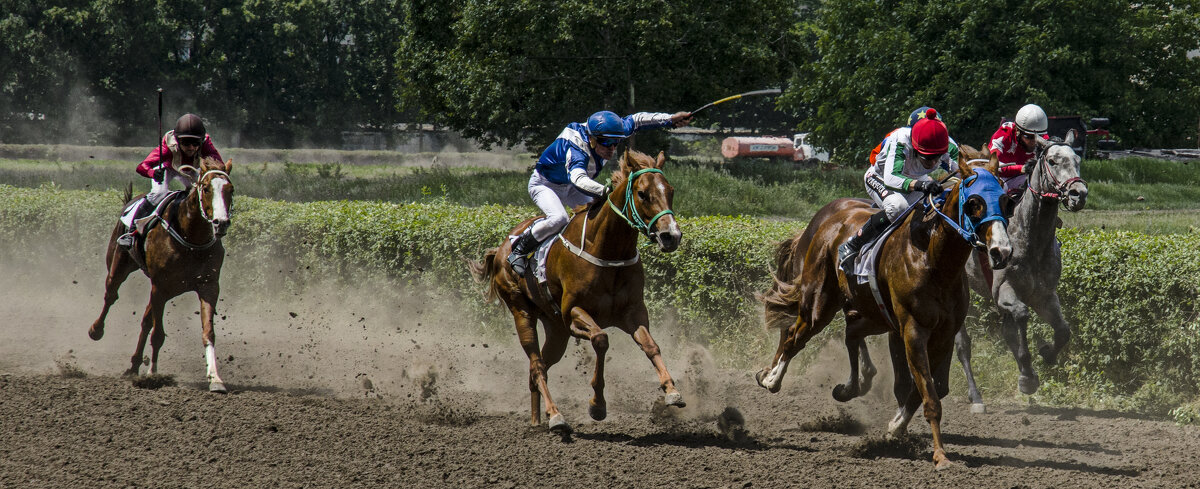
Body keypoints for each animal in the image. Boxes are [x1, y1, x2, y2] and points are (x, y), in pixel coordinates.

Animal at [88, 157, 234, 393]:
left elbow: (208, 332)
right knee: (111, 295)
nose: (220, 222)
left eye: (230, 189)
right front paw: (153, 374)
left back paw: (133, 366)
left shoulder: (209, 286)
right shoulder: (160, 286)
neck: (191, 239)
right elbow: (158, 335)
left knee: (146, 321)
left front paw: (215, 378)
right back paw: (96, 330)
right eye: (205, 188)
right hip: (119, 265)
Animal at [468, 148, 686, 431]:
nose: (671, 236)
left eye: (670, 190)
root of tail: (502, 247)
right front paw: (597, 405)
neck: (607, 250)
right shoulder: (573, 312)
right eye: (642, 194)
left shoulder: (633, 311)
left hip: (556, 328)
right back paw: (556, 415)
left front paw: (671, 391)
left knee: (538, 368)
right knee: (537, 365)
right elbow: (601, 340)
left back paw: (537, 419)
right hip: (521, 312)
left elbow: (651, 346)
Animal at [758, 161, 1012, 467]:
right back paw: (772, 378)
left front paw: (895, 427)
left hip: (869, 313)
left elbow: (926, 389)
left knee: (850, 333)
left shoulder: (942, 335)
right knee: (795, 336)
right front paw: (940, 455)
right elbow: (927, 394)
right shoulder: (911, 330)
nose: (1001, 251)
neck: (934, 261)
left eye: (1007, 201)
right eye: (974, 202)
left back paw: (849, 385)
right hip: (819, 302)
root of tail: (828, 222)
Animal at [955, 133, 1089, 412]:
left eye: (1077, 159)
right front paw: (1027, 375)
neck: (1031, 238)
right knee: (963, 345)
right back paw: (976, 396)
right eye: (1052, 161)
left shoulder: (1045, 295)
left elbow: (1063, 330)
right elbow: (1021, 315)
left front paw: (1046, 354)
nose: (1078, 194)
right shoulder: (1004, 290)